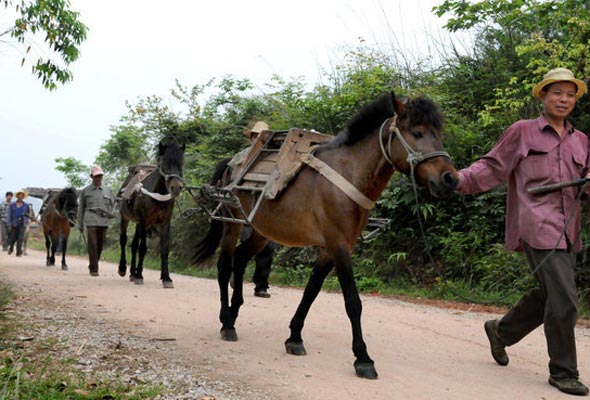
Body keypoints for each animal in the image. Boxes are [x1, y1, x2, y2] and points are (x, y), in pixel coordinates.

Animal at [118, 140, 185, 288]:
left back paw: (132, 272)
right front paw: (139, 276)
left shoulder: (165, 222)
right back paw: (123, 268)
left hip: (139, 223)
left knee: (134, 245)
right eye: (164, 164)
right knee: (124, 240)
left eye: (181, 164)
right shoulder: (143, 219)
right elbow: (143, 247)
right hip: (125, 217)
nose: (176, 188)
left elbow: (164, 249)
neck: (157, 193)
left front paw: (167, 278)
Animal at [194, 92, 462, 380]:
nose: (450, 179)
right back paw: (226, 322)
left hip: (261, 232)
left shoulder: (329, 249)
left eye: (439, 133)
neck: (348, 175)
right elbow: (353, 302)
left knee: (242, 258)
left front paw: (294, 337)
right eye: (417, 132)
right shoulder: (339, 246)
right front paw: (363, 358)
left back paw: (234, 314)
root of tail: (232, 163)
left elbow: (311, 291)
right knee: (225, 266)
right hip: (232, 224)